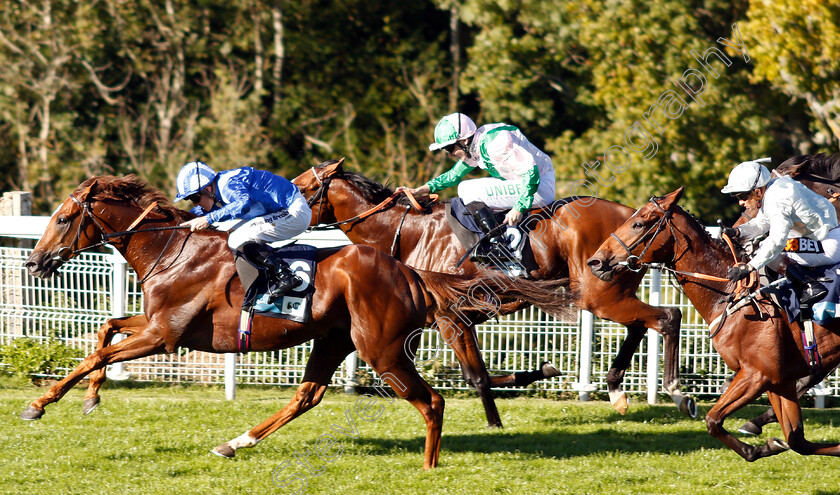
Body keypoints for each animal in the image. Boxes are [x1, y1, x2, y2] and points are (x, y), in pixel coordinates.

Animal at [21, 176, 572, 470]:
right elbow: (107, 329)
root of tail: (409, 270)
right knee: (308, 395)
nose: (34, 262)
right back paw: (235, 442)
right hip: (334, 340)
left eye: (64, 217)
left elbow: (97, 350)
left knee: (432, 401)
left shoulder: (165, 334)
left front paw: (39, 405)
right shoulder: (157, 325)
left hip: (381, 349)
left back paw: (429, 466)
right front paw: (91, 397)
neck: (171, 248)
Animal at [588, 186, 840, 462]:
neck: (729, 295)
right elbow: (796, 440)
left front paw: (756, 447)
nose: (595, 262)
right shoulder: (779, 380)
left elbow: (713, 420)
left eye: (638, 224)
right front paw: (769, 445)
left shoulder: (756, 375)